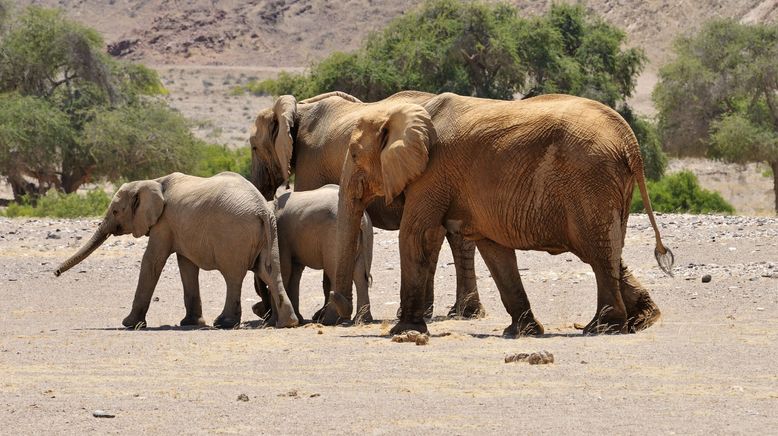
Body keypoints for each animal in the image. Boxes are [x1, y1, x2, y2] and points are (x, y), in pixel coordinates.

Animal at [53, 172, 298, 328]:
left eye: (115, 211)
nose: (55, 272)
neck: (153, 181)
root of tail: (262, 209)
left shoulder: (164, 223)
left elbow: (152, 261)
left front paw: (129, 324)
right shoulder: (179, 228)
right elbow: (185, 266)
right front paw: (190, 323)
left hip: (234, 234)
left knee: (233, 276)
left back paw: (224, 323)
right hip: (268, 233)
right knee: (269, 271)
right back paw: (288, 323)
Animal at [249, 184, 370, 324]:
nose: (256, 310)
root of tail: (363, 220)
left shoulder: (279, 234)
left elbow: (284, 270)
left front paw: (272, 323)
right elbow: (294, 273)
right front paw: (299, 319)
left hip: (334, 237)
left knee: (335, 273)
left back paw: (329, 320)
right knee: (360, 275)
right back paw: (362, 320)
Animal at [324, 93, 668, 338]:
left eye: (354, 154)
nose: (335, 316)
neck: (402, 110)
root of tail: (630, 142)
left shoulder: (432, 174)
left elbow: (416, 235)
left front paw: (403, 331)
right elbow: (494, 250)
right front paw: (522, 332)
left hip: (590, 180)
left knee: (595, 251)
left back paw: (602, 327)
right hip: (605, 185)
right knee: (607, 251)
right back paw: (642, 320)